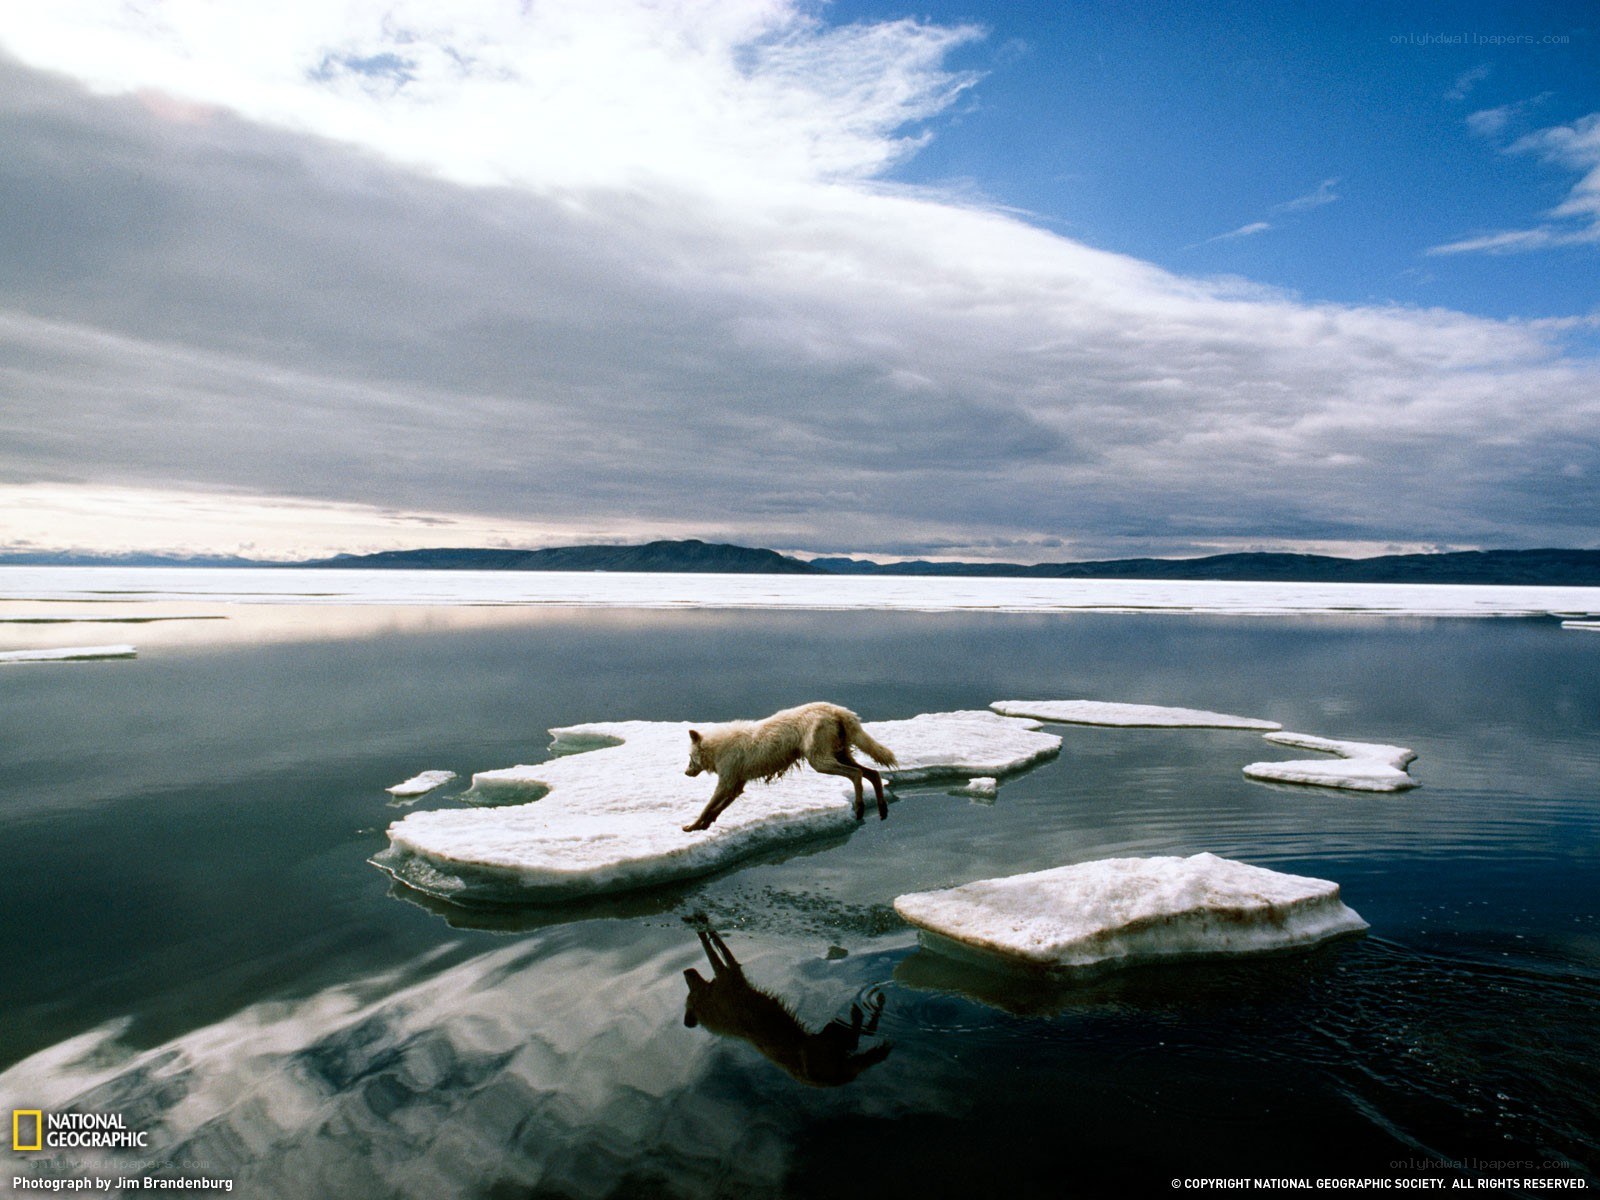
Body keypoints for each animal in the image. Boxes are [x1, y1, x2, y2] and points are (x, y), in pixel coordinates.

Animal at [681, 701, 898, 832]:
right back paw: (882, 808)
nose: (686, 772)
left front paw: (691, 827)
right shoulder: (737, 785)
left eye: (690, 757)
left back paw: (860, 808)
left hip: (819, 761)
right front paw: (704, 825)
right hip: (839, 755)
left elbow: (707, 806)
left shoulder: (726, 783)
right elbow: (716, 809)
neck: (717, 748)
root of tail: (837, 709)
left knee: (856, 774)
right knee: (873, 773)